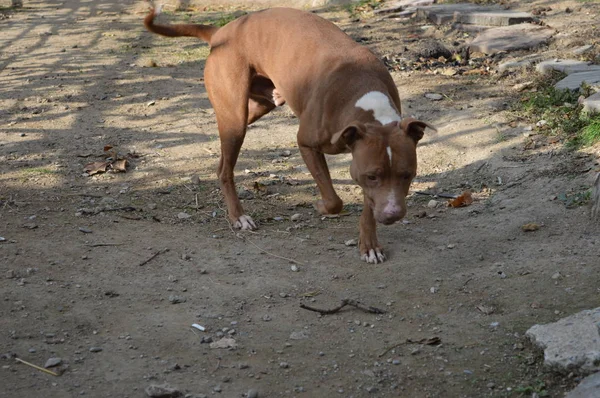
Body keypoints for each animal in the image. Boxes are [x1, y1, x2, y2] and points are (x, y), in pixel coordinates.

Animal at [146, 7, 436, 264]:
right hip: (234, 117)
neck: (364, 95)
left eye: (407, 175)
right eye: (373, 176)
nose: (393, 215)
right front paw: (321, 207)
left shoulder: (360, 159)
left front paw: (370, 247)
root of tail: (222, 32)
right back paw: (238, 216)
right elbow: (333, 200)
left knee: (223, 160)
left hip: (256, 107)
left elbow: (367, 208)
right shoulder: (309, 144)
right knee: (226, 168)